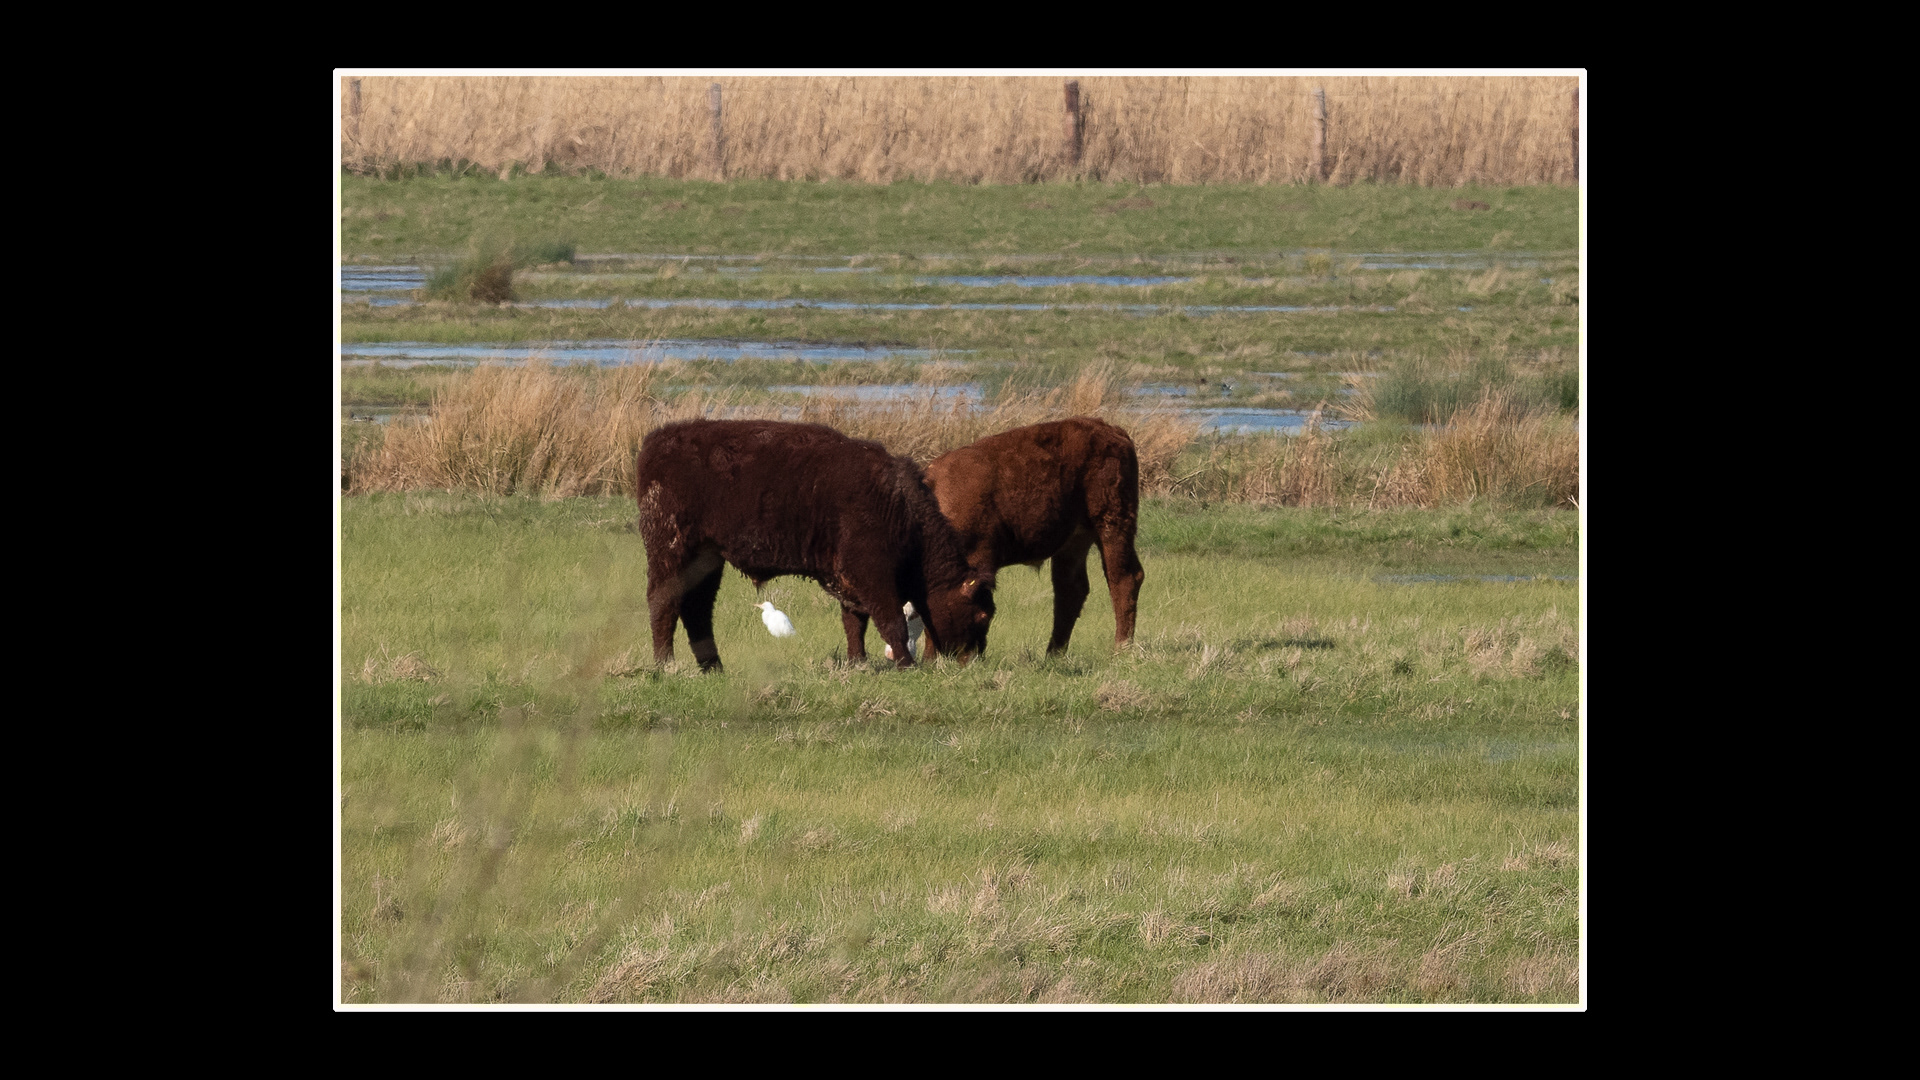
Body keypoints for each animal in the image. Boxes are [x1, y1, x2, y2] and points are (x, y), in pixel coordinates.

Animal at [635, 419, 996, 672]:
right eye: (981, 613)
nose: (972, 660)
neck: (900, 506)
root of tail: (655, 443)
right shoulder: (871, 574)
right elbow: (889, 619)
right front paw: (906, 665)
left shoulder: (848, 581)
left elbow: (855, 622)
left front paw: (857, 663)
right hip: (671, 550)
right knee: (663, 602)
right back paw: (666, 665)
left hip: (707, 557)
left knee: (697, 609)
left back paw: (713, 668)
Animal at [841, 417, 1144, 659]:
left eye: (914, 614)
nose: (892, 655)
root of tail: (1109, 429)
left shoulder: (979, 560)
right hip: (1073, 540)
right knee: (1070, 589)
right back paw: (1054, 654)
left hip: (1113, 521)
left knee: (1124, 578)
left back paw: (1122, 648)